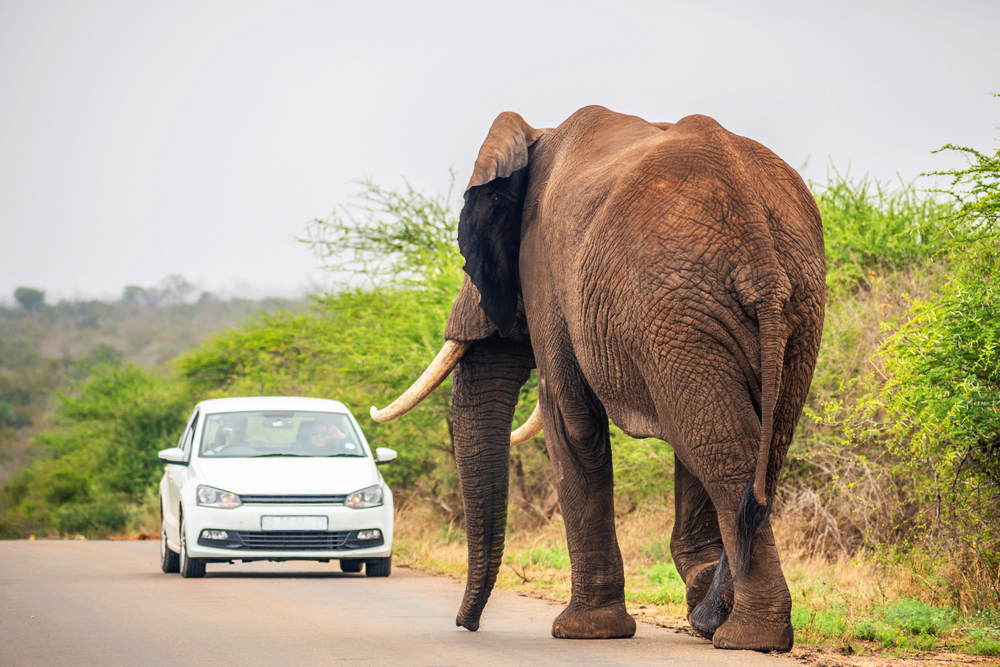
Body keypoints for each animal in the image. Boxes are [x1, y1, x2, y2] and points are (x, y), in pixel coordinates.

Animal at [372, 105, 824, 652]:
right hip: (780, 307)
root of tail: (759, 250)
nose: (467, 625)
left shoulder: (545, 269)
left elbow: (570, 420)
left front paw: (581, 631)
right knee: (755, 445)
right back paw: (718, 617)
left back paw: (748, 636)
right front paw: (696, 596)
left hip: (676, 306)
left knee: (721, 448)